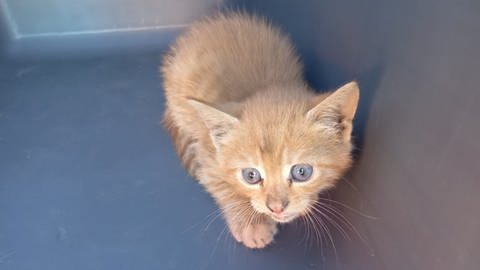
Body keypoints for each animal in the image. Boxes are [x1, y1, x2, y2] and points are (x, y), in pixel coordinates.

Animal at [160, 13, 356, 249]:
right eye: (251, 175)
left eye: (302, 172)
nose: (276, 207)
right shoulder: (207, 156)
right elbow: (222, 186)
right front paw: (251, 223)